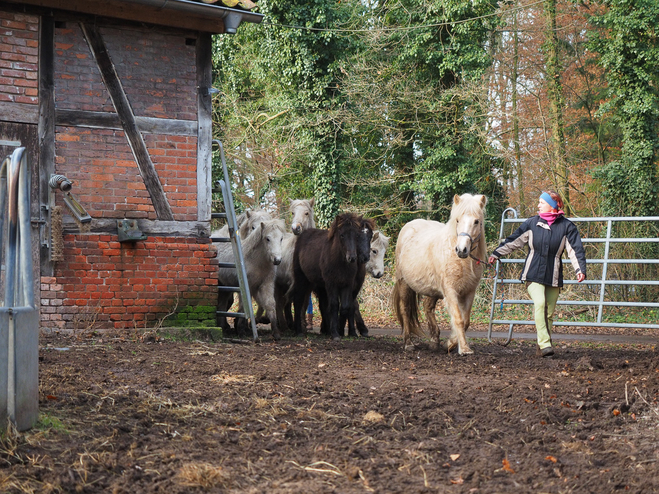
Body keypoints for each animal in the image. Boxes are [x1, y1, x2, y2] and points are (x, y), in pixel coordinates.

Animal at [296, 212, 376, 340]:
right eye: (358, 235)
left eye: (370, 235)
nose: (364, 257)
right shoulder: (337, 285)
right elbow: (343, 306)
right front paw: (340, 330)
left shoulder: (352, 287)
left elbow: (350, 306)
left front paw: (351, 331)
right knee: (303, 302)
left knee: (321, 305)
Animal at [392, 193, 490, 356]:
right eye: (457, 220)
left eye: (477, 221)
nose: (461, 250)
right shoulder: (450, 291)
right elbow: (458, 319)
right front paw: (464, 349)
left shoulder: (469, 292)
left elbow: (466, 320)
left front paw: (450, 344)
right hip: (404, 283)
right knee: (405, 310)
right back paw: (408, 344)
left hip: (433, 290)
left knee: (427, 307)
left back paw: (434, 341)